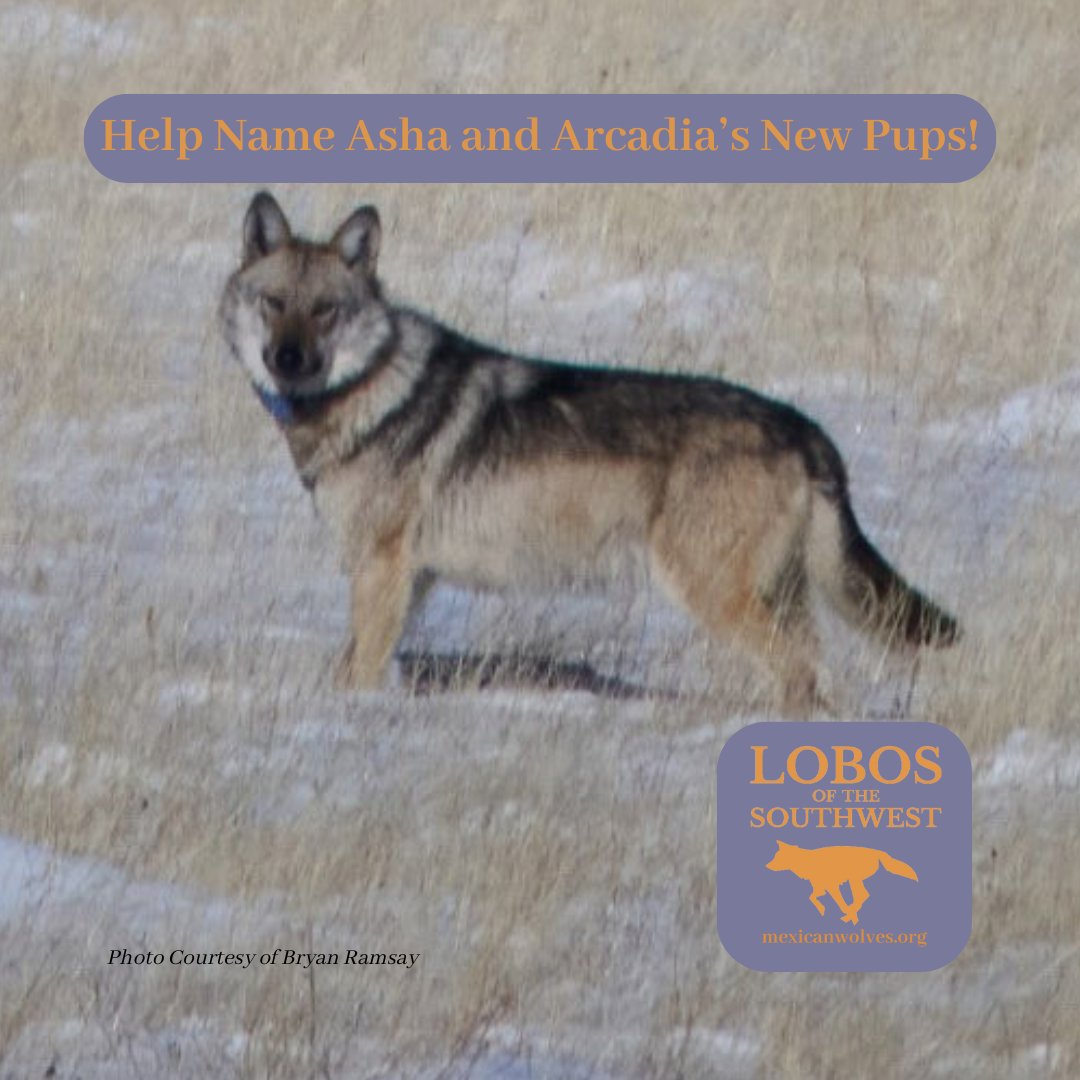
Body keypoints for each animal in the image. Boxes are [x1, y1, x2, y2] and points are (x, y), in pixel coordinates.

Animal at [218, 192, 960, 712]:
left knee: (803, 672)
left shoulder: (381, 570)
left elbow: (362, 674)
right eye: (274, 302)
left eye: (325, 310)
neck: (368, 392)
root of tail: (803, 427)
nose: (287, 360)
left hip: (712, 592)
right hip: (774, 597)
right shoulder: (411, 579)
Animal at [766, 840, 918, 924]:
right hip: (854, 881)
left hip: (853, 880)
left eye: (778, 857)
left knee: (862, 895)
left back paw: (849, 915)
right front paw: (822, 910)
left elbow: (840, 903)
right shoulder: (821, 888)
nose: (767, 866)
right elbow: (812, 897)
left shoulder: (832, 887)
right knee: (863, 896)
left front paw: (845, 913)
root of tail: (877, 851)